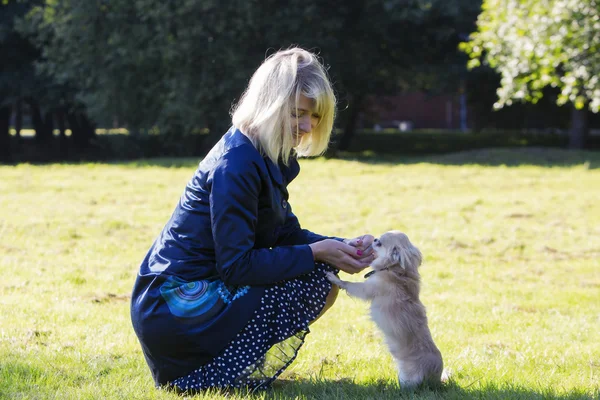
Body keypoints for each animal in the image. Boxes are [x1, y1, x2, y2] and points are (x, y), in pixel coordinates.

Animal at [324, 231, 446, 390]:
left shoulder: (367, 289)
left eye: (379, 243)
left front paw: (335, 278)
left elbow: (350, 285)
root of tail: (436, 379)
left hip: (410, 379)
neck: (394, 270)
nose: (373, 238)